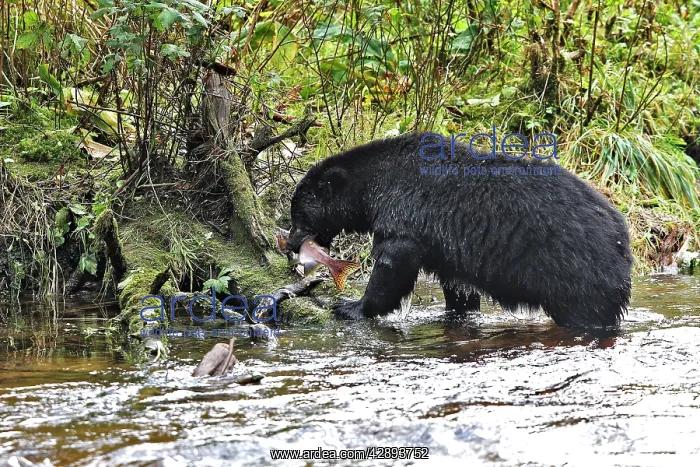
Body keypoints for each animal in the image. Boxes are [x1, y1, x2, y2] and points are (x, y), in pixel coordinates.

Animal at [285, 132, 633, 329]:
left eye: (297, 214)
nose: (289, 244)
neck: (374, 188)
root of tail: (623, 237)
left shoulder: (407, 213)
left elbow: (392, 263)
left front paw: (352, 306)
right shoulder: (446, 244)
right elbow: (458, 285)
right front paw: (456, 311)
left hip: (577, 270)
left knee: (587, 310)